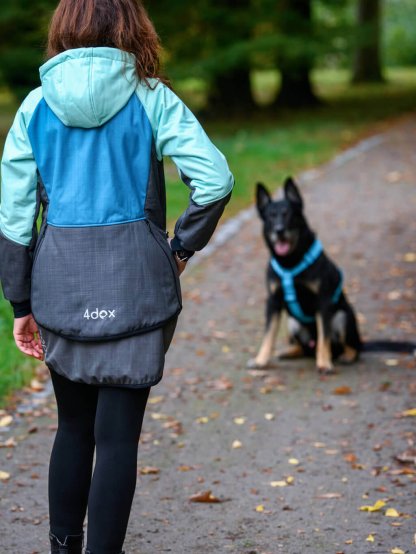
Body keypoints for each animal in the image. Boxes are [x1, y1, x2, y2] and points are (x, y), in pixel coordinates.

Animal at [249, 177, 362, 374]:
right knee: (302, 347)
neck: (290, 262)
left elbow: (324, 337)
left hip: (342, 317)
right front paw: (260, 360)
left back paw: (346, 356)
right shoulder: (273, 302)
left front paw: (324, 363)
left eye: (288, 214)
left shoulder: (323, 302)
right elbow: (268, 334)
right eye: (271, 216)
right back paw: (289, 351)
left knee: (351, 346)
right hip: (292, 322)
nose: (279, 230)